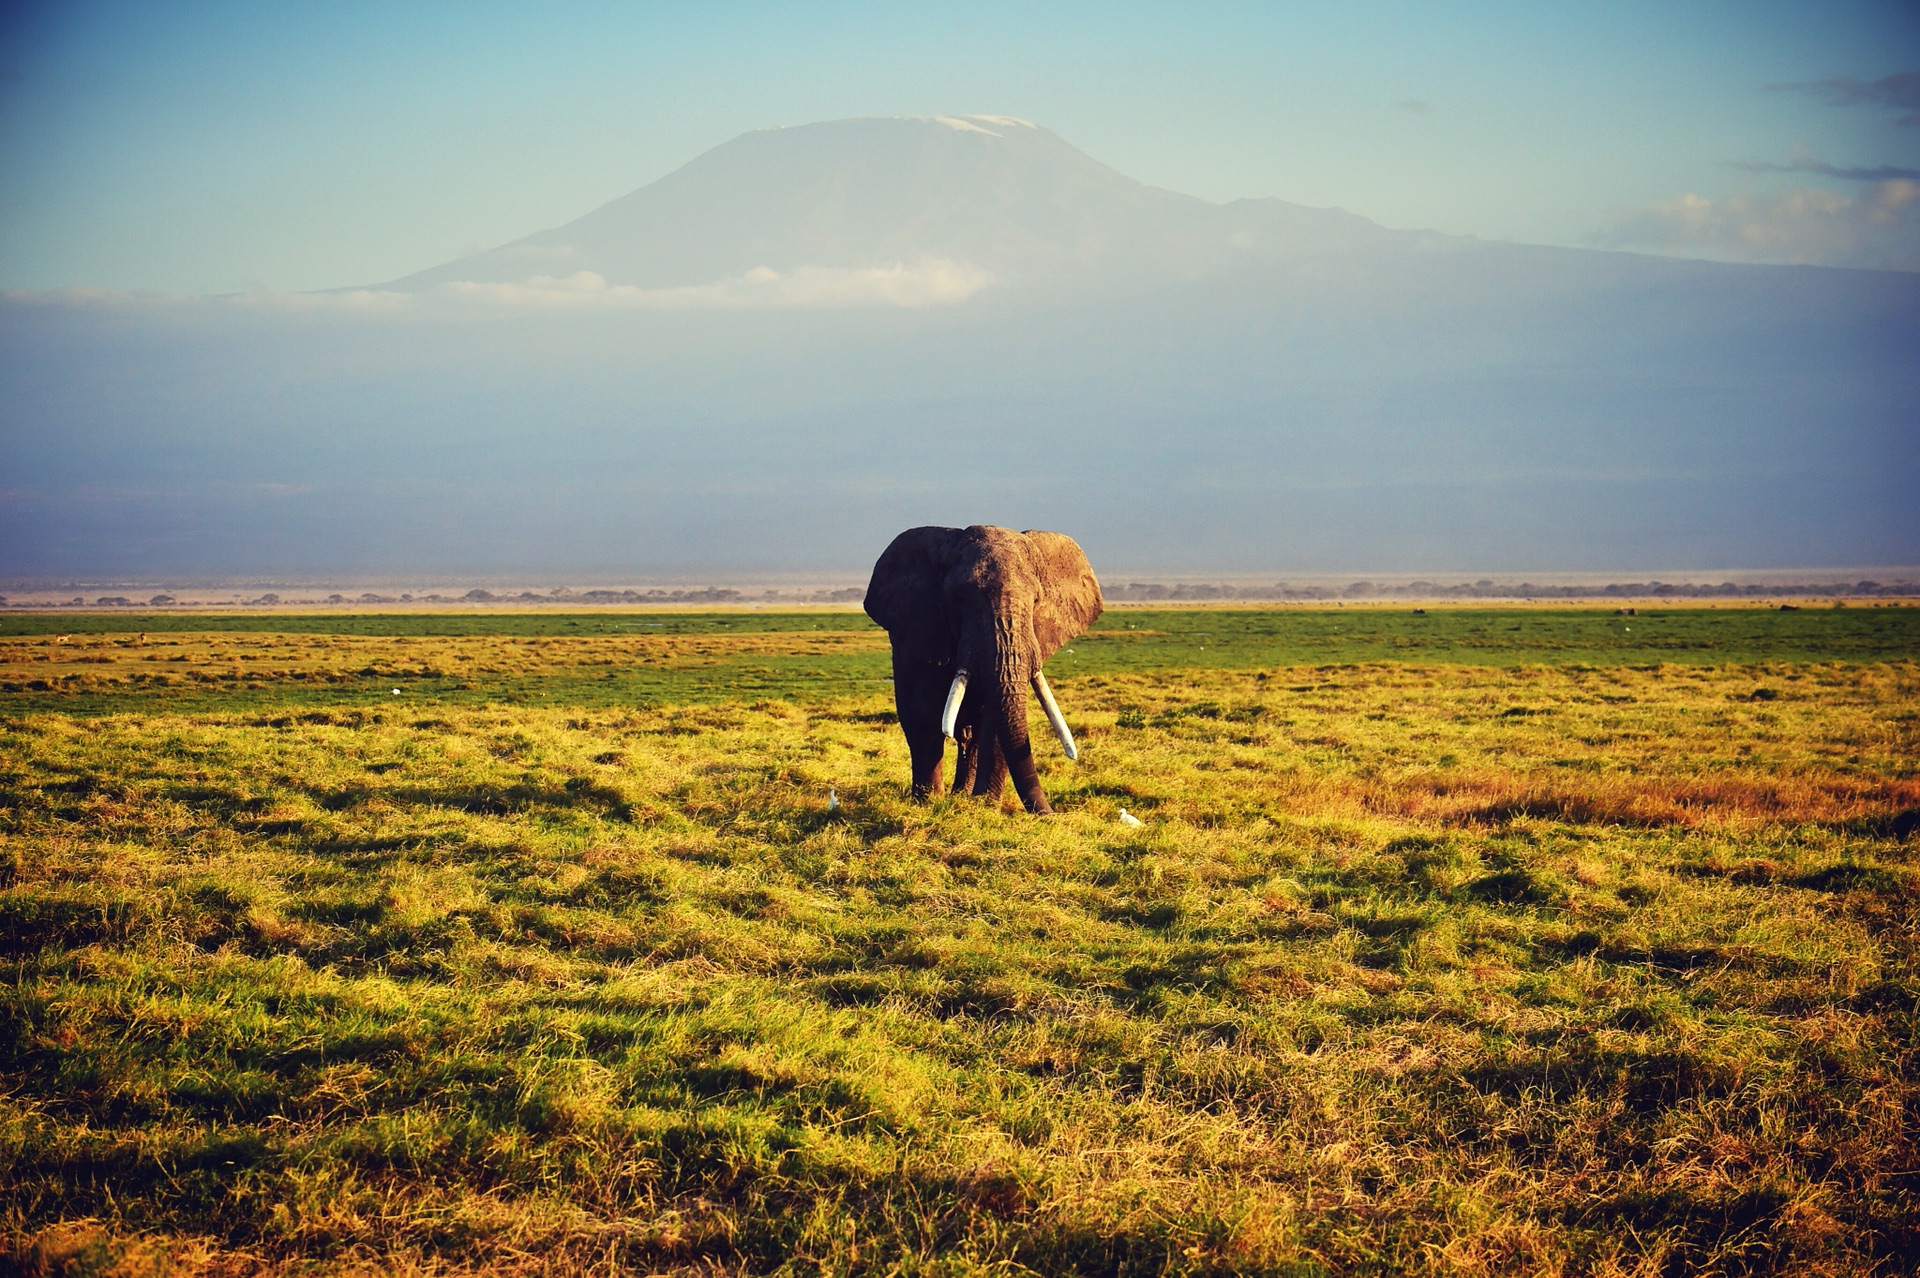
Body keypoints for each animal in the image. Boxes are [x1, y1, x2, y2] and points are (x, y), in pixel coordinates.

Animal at [867, 521, 1105, 809]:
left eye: (1036, 601)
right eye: (957, 600)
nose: (1053, 813)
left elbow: (994, 717)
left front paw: (985, 805)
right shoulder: (919, 630)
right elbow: (922, 713)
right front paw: (928, 804)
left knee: (970, 737)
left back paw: (962, 796)